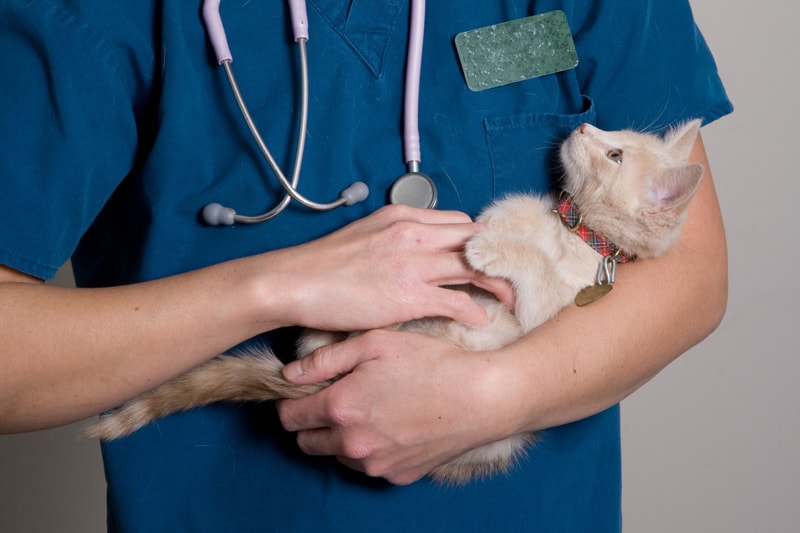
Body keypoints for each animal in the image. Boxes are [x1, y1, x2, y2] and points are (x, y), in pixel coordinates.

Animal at [84, 121, 704, 486]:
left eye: (615, 153)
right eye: (613, 131)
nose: (580, 122)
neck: (577, 234)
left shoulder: (546, 308)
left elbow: (528, 276)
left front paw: (488, 248)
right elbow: (514, 211)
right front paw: (485, 225)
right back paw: (321, 334)